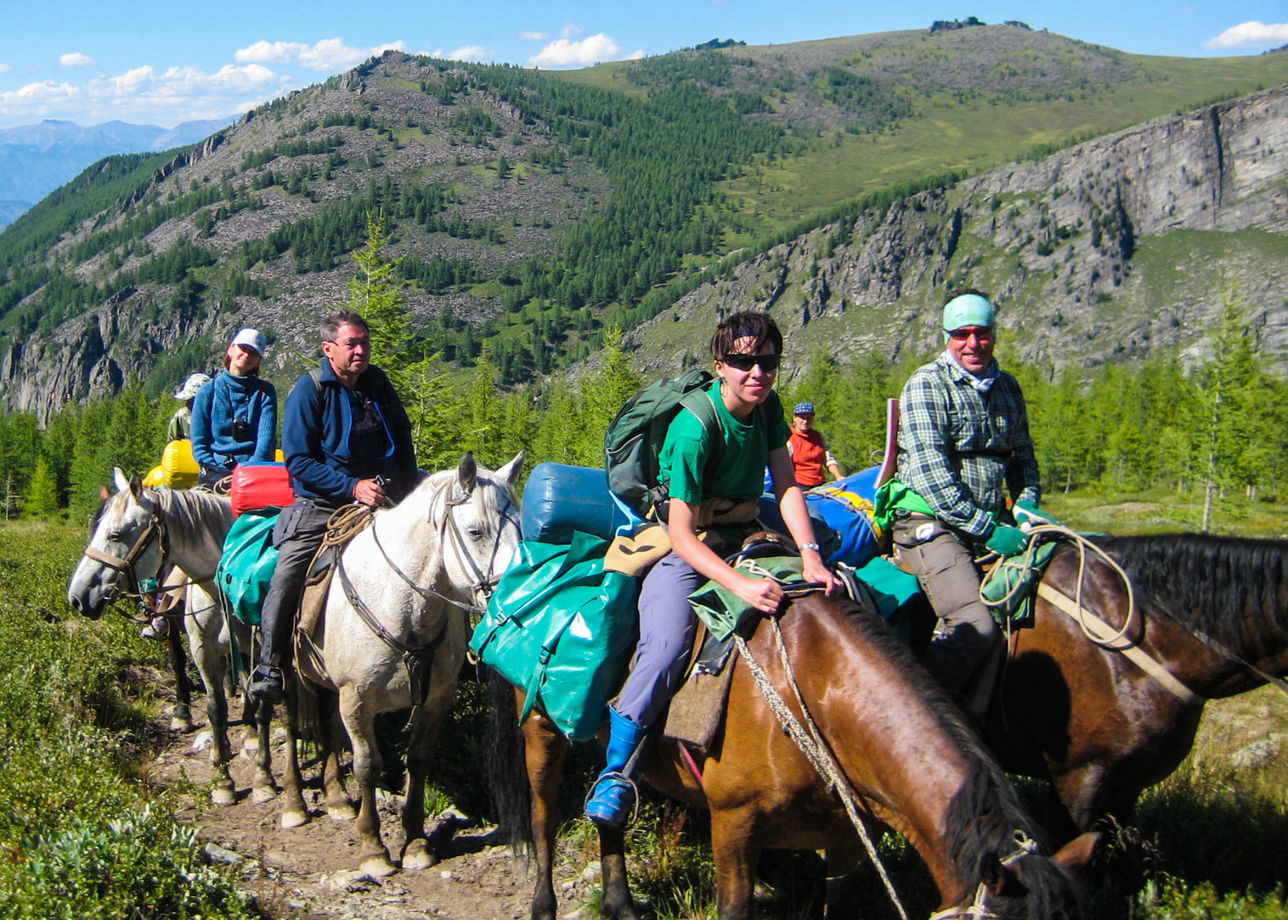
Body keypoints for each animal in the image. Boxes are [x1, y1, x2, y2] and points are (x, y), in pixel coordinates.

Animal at [67, 469, 269, 798]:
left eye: (115, 535)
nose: (77, 597)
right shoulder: (203, 648)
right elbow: (216, 709)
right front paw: (223, 780)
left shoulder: (256, 647)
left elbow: (261, 703)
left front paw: (264, 776)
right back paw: (185, 714)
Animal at [294, 450, 525, 876]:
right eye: (475, 532)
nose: (515, 597)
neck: (402, 605)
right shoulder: (356, 700)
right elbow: (367, 764)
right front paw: (373, 847)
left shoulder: (435, 700)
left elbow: (417, 761)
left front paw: (416, 842)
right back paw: (287, 800)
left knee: (324, 723)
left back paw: (335, 797)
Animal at [489, 590, 1097, 912]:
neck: (816, 697)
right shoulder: (734, 823)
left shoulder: (851, 837)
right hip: (541, 729)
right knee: (545, 815)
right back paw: (543, 905)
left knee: (608, 814)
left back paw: (621, 905)